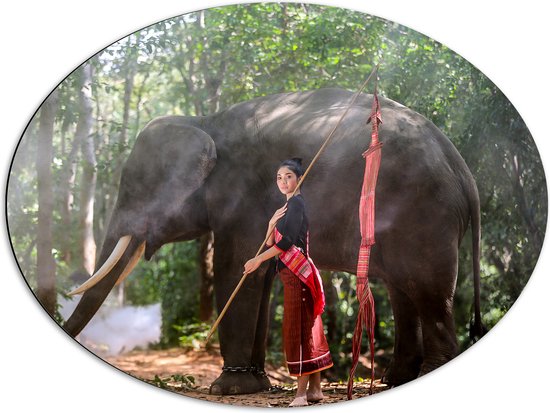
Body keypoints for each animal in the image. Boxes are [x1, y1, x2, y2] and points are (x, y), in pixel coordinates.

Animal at [64, 86, 486, 392]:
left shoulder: (243, 198)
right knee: (405, 292)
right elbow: (261, 276)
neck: (204, 122)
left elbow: (238, 269)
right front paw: (255, 384)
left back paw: (425, 373)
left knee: (430, 293)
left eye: (133, 189)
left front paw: (226, 389)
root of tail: (464, 172)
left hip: (426, 216)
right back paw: (396, 379)